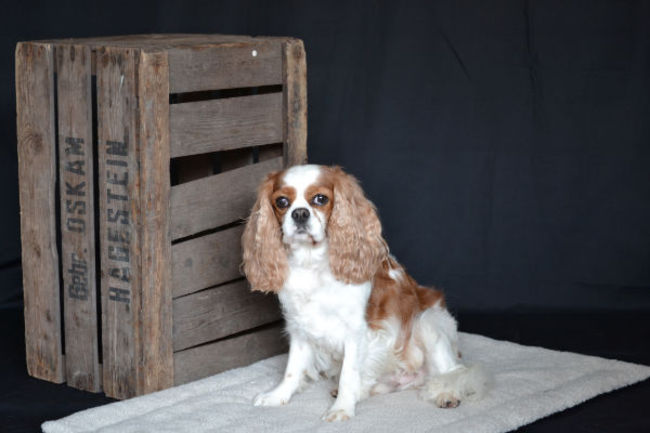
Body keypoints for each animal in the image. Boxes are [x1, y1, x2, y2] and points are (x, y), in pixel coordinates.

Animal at [242, 164, 487, 421]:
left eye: (320, 199)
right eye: (281, 202)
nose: (299, 213)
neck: (312, 263)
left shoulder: (356, 333)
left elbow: (348, 374)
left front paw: (341, 408)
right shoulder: (300, 328)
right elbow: (293, 369)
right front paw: (278, 396)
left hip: (428, 322)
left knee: (455, 371)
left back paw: (446, 393)